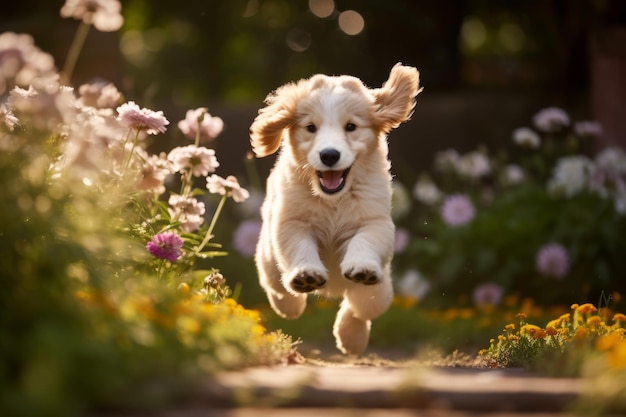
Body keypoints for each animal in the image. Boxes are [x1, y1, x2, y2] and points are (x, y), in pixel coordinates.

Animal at [247, 64, 420, 354]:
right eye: (310, 127)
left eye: (351, 127)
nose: (329, 155)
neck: (333, 199)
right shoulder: (290, 222)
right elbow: (299, 246)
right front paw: (306, 275)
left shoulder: (375, 220)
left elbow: (364, 240)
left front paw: (361, 267)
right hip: (268, 258)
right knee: (276, 286)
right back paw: (290, 305)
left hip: (382, 288)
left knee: (363, 305)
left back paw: (351, 336)